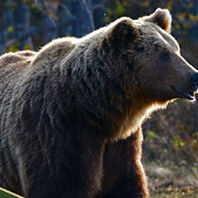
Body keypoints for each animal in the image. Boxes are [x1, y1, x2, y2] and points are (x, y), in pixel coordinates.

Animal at [0, 8, 198, 198]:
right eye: (164, 54)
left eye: (176, 49)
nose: (194, 76)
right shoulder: (55, 131)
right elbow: (58, 184)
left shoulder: (121, 146)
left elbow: (125, 184)